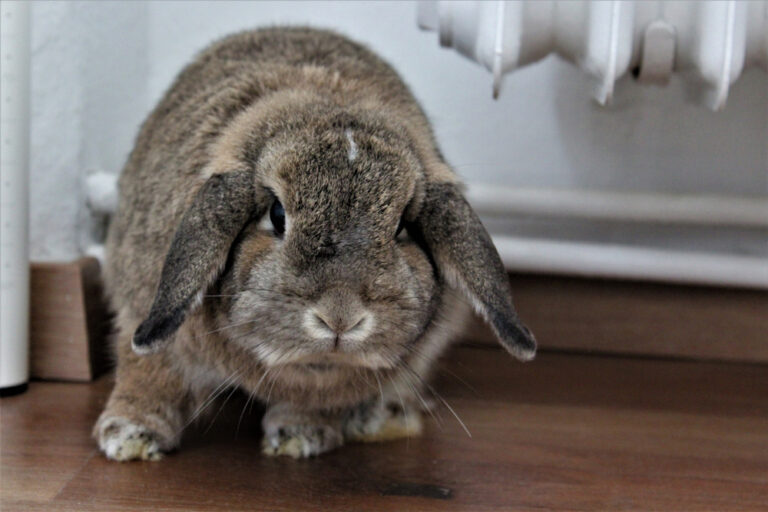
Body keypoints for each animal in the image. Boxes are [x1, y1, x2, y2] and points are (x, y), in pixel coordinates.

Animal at [93, 27, 536, 461]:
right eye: (277, 215)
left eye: (401, 228)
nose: (340, 318)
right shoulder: (142, 312)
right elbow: (149, 372)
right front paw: (129, 436)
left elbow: (314, 403)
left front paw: (300, 436)